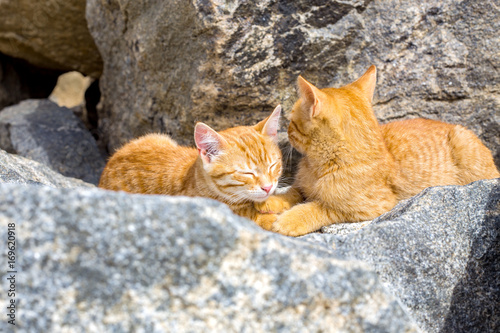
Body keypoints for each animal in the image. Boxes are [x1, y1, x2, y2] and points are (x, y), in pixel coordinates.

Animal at [258, 65, 500, 236]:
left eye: (292, 121)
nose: (287, 130)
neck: (318, 166)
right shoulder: (301, 187)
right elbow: (290, 193)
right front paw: (268, 201)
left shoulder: (372, 207)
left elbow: (322, 207)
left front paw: (290, 220)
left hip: (465, 145)